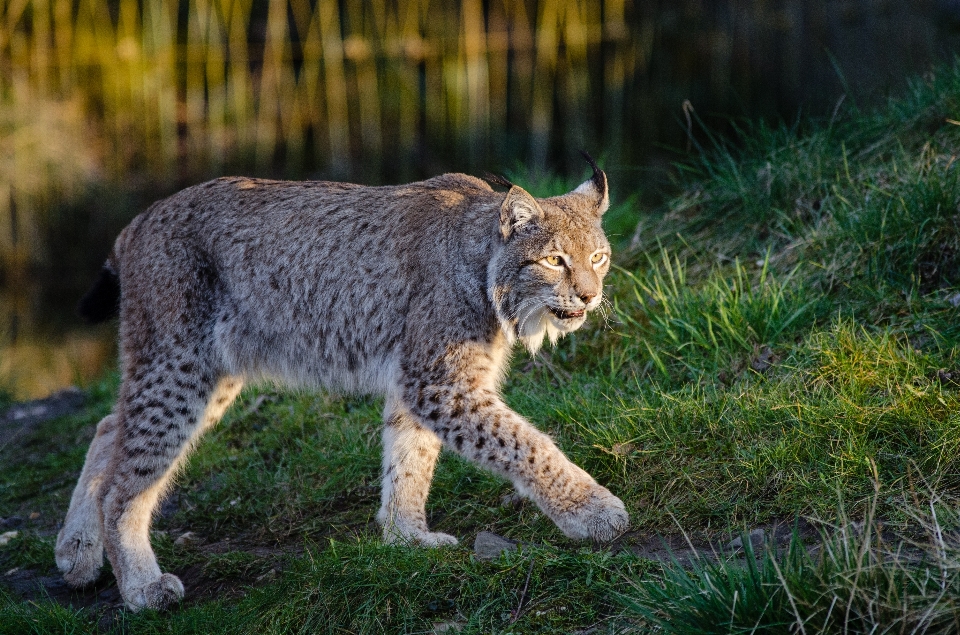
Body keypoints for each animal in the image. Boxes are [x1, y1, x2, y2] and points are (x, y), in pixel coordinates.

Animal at [58, 154, 632, 612]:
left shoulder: (416, 382)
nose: (589, 297)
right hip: (181, 365)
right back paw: (140, 587)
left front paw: (406, 536)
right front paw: (592, 511)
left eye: (598, 257)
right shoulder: (438, 383)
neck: (486, 271)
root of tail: (140, 219)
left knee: (109, 427)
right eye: (554, 260)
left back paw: (76, 552)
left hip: (209, 369)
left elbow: (410, 458)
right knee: (123, 484)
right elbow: (525, 444)